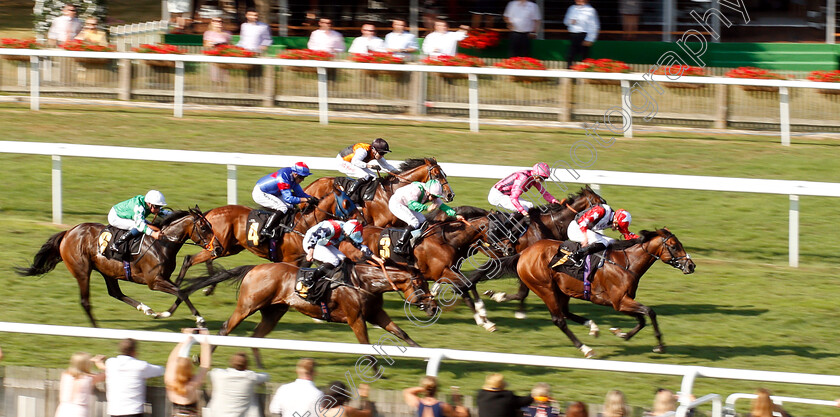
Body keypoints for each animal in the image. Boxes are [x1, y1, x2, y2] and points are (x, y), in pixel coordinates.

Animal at [15, 206, 220, 326]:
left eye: (211, 225)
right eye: (203, 227)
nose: (218, 247)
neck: (162, 243)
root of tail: (68, 232)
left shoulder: (165, 278)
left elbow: (181, 291)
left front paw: (163, 313)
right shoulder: (154, 281)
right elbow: (182, 291)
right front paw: (199, 319)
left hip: (107, 270)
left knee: (115, 293)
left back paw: (145, 308)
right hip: (82, 271)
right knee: (85, 301)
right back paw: (97, 329)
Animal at [181, 262, 436, 366]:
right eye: (420, 284)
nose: (433, 307)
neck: (363, 282)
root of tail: (254, 268)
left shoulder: (376, 314)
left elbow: (401, 333)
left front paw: (425, 355)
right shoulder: (356, 319)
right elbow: (365, 346)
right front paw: (375, 370)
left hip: (273, 312)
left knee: (256, 336)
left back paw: (260, 366)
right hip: (248, 305)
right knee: (226, 328)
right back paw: (201, 358)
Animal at [306, 157, 452, 228]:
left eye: (444, 174)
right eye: (437, 175)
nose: (450, 195)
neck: (391, 192)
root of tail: (312, 185)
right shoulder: (380, 224)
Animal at [516, 228, 692, 358]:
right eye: (674, 246)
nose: (691, 266)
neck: (626, 263)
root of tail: (524, 253)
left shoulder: (623, 301)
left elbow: (642, 319)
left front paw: (623, 335)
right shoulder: (619, 301)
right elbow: (650, 312)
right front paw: (660, 346)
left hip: (562, 290)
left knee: (565, 313)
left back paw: (593, 327)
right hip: (545, 288)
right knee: (559, 320)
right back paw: (586, 349)